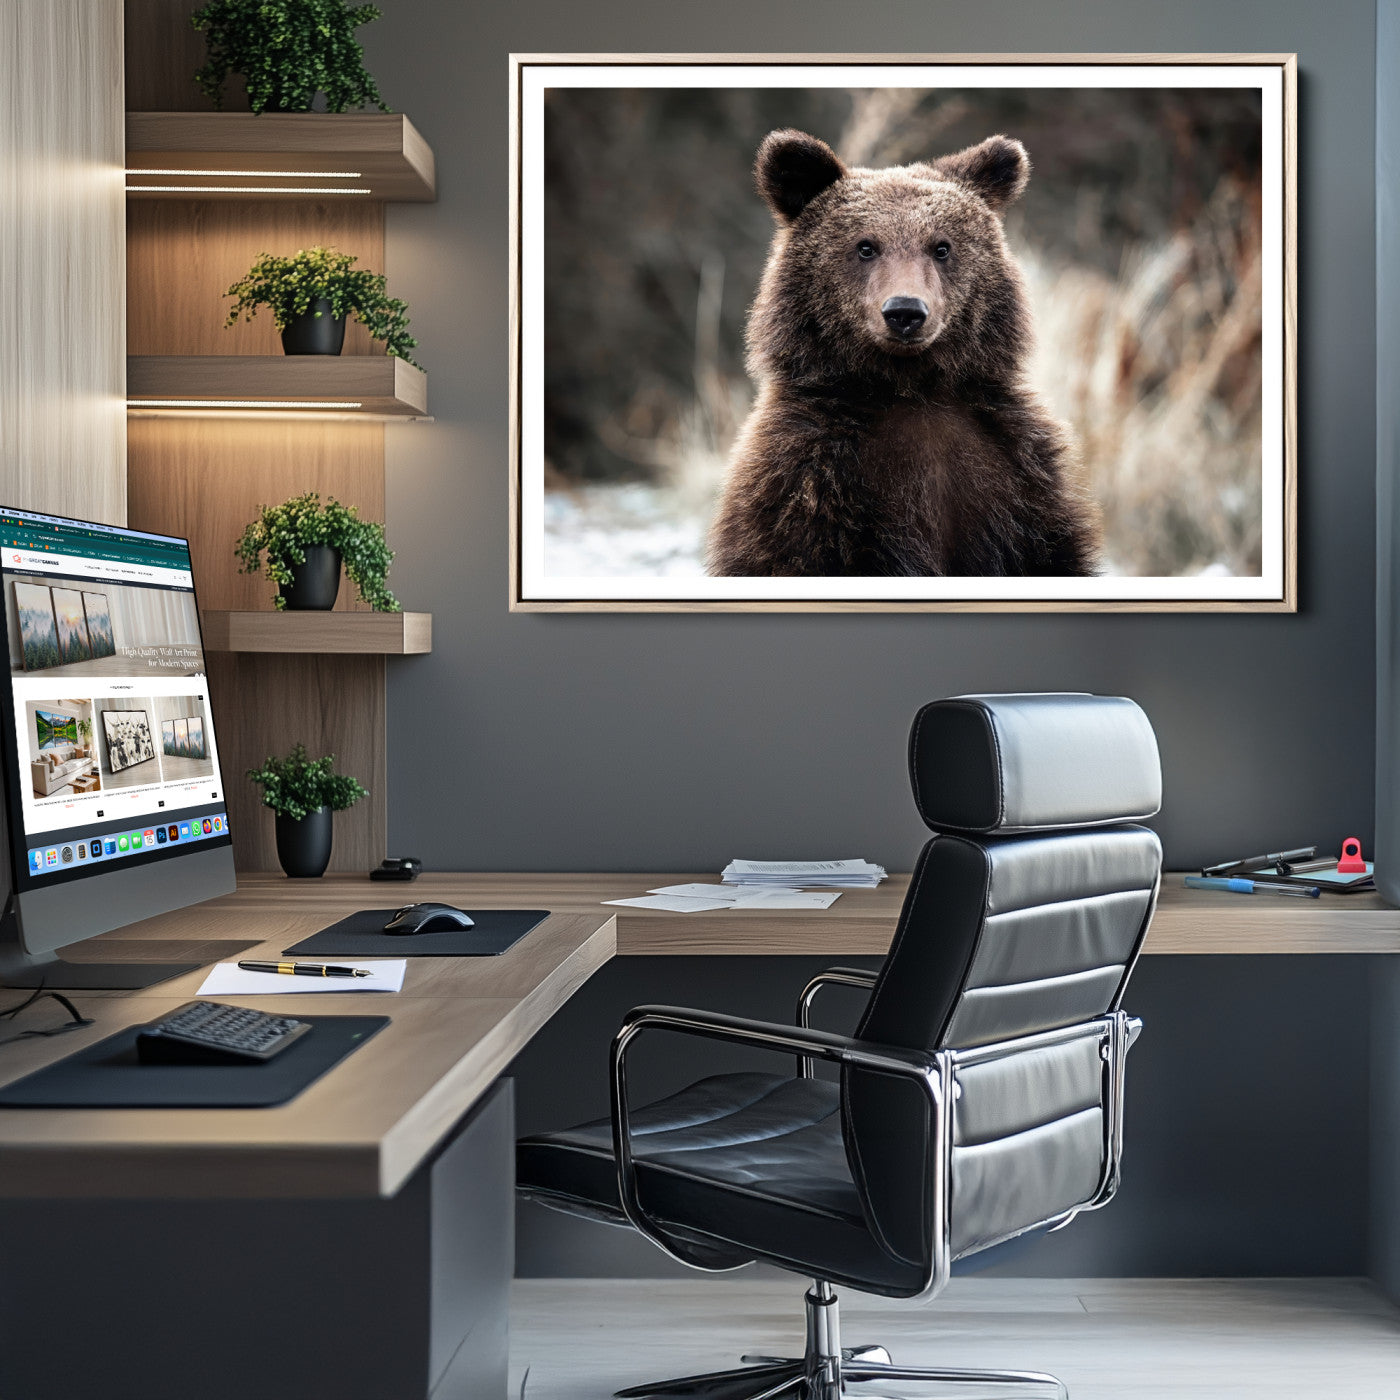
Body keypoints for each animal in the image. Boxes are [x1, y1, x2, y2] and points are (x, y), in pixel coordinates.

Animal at [706, 128, 1101, 578]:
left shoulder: (1018, 478)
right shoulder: (806, 484)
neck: (910, 389)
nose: (905, 312)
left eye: (941, 247)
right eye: (865, 246)